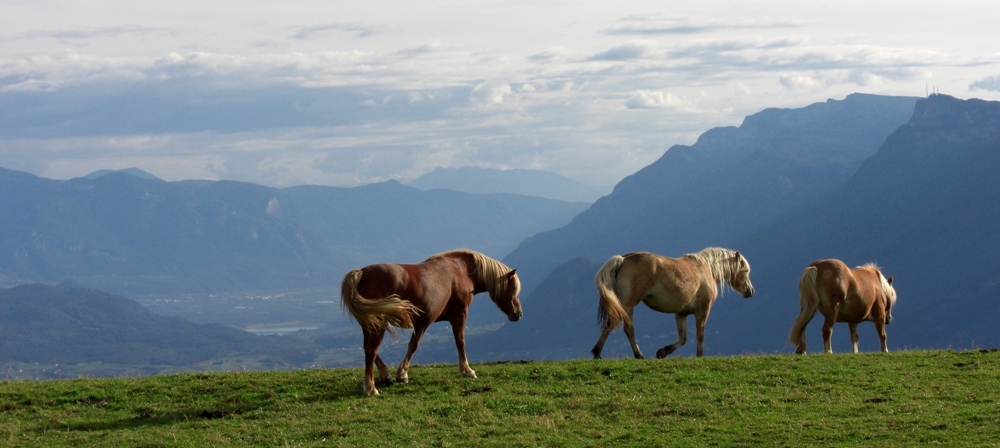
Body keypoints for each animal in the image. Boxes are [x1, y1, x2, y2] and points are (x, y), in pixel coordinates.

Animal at [342, 248, 524, 396]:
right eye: (512, 289)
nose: (518, 314)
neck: (461, 270)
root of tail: (362, 273)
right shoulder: (458, 315)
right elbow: (458, 342)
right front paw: (467, 370)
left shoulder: (424, 322)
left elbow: (414, 346)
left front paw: (401, 374)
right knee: (371, 351)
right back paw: (371, 388)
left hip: (371, 324)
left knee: (368, 349)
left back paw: (385, 375)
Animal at [588, 248, 752, 360]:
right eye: (745, 270)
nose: (750, 291)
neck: (706, 269)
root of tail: (623, 259)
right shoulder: (703, 311)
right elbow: (700, 334)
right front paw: (699, 355)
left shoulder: (681, 314)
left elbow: (683, 338)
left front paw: (663, 351)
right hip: (627, 304)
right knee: (611, 324)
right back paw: (597, 352)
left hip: (628, 306)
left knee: (629, 329)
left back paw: (638, 355)